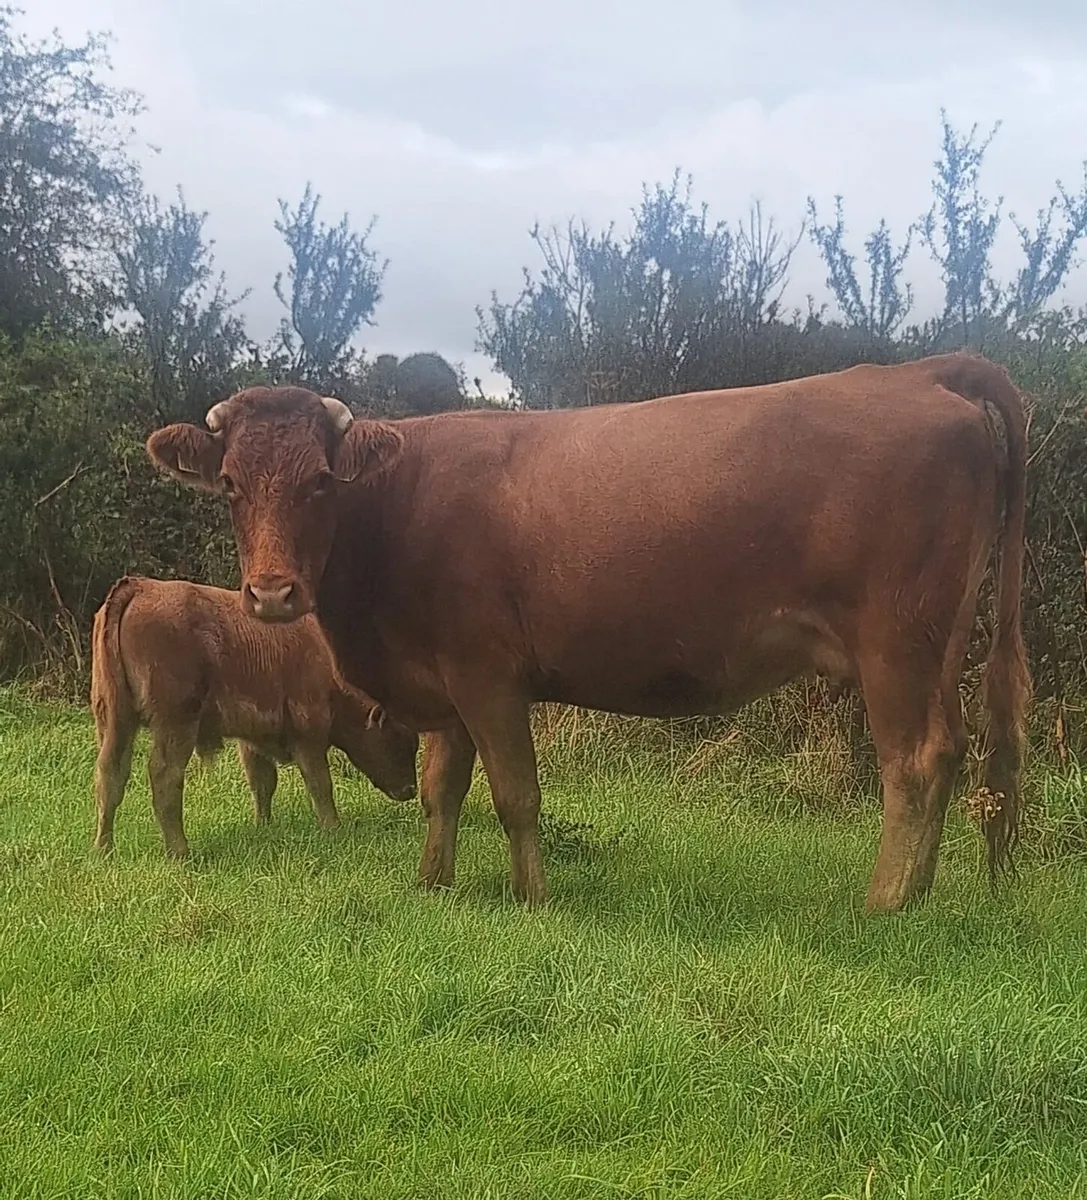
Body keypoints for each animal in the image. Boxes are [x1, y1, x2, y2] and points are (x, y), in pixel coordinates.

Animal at [90, 575, 419, 858]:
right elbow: (320, 784)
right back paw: (180, 852)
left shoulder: (253, 738)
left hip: (115, 718)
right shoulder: (309, 735)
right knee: (164, 774)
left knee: (110, 773)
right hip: (176, 722)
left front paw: (264, 825)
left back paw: (104, 848)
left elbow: (262, 782)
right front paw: (333, 828)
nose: (410, 790)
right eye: (401, 740)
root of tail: (140, 586)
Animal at [144, 352, 1030, 912]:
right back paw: (915, 892)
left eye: (322, 481)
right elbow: (441, 790)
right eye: (230, 483)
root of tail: (914, 372)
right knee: (953, 750)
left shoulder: (487, 674)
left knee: (914, 761)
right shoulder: (444, 678)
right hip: (939, 641)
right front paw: (432, 883)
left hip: (893, 643)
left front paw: (532, 898)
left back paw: (884, 903)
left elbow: (515, 795)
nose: (271, 593)